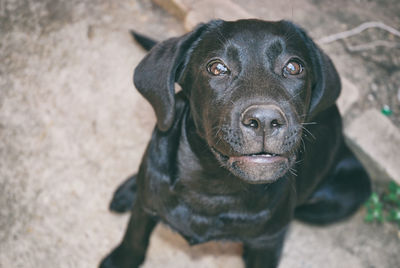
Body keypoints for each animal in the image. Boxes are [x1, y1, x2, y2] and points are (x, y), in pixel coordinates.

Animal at [101, 19, 372, 268]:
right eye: (217, 68)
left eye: (294, 67)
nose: (265, 120)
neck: (215, 186)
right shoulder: (145, 209)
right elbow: (134, 238)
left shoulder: (267, 242)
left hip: (347, 192)